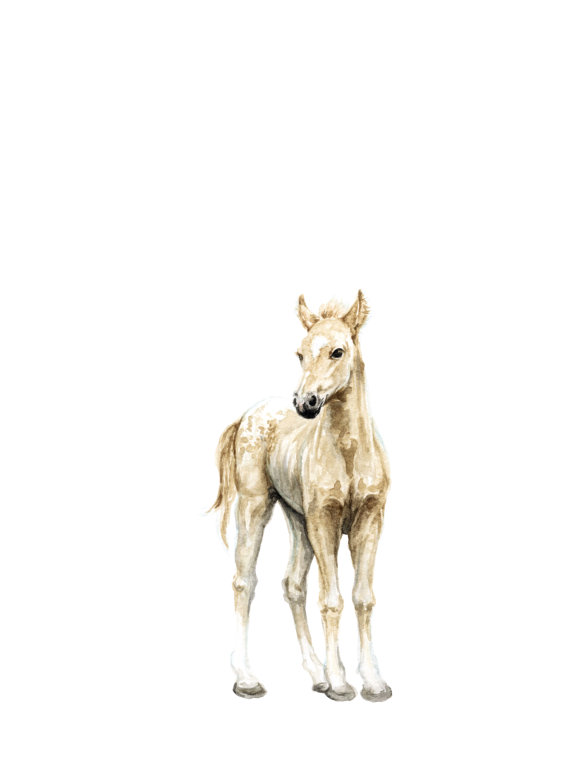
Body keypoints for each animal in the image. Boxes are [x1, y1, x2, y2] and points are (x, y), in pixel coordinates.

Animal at [210, 291, 392, 702]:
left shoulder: (369, 522)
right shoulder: (324, 521)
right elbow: (332, 600)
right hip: (256, 506)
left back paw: (316, 673)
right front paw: (341, 683)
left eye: (338, 351)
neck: (350, 453)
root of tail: (249, 414)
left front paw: (372, 682)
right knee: (244, 580)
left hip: (297, 520)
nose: (305, 403)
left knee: (292, 584)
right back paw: (247, 678)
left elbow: (363, 598)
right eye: (300, 354)